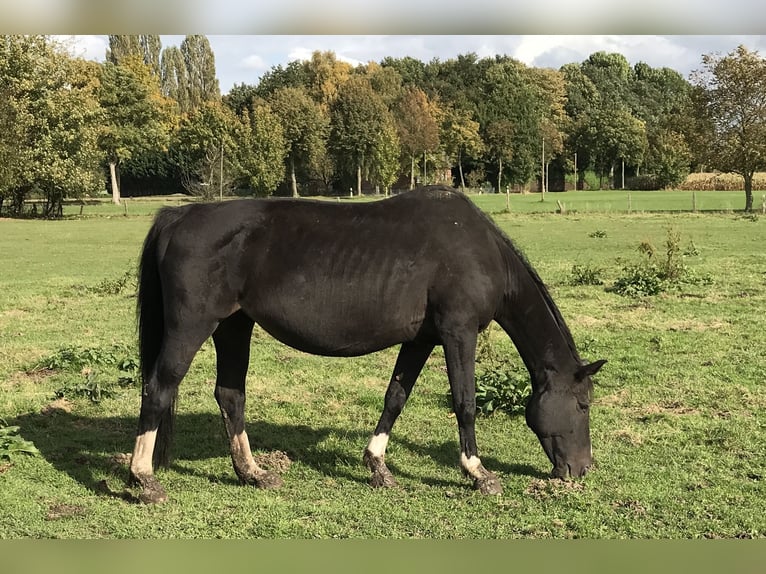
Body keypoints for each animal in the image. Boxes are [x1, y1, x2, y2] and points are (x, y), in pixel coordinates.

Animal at [129, 186, 608, 504]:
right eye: (583, 404)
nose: (582, 469)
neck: (478, 250)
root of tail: (177, 217)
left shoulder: (421, 340)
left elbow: (395, 397)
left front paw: (377, 465)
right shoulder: (459, 332)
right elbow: (465, 402)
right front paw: (478, 473)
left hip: (233, 326)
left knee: (230, 395)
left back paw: (253, 473)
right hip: (192, 326)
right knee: (158, 389)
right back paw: (144, 480)